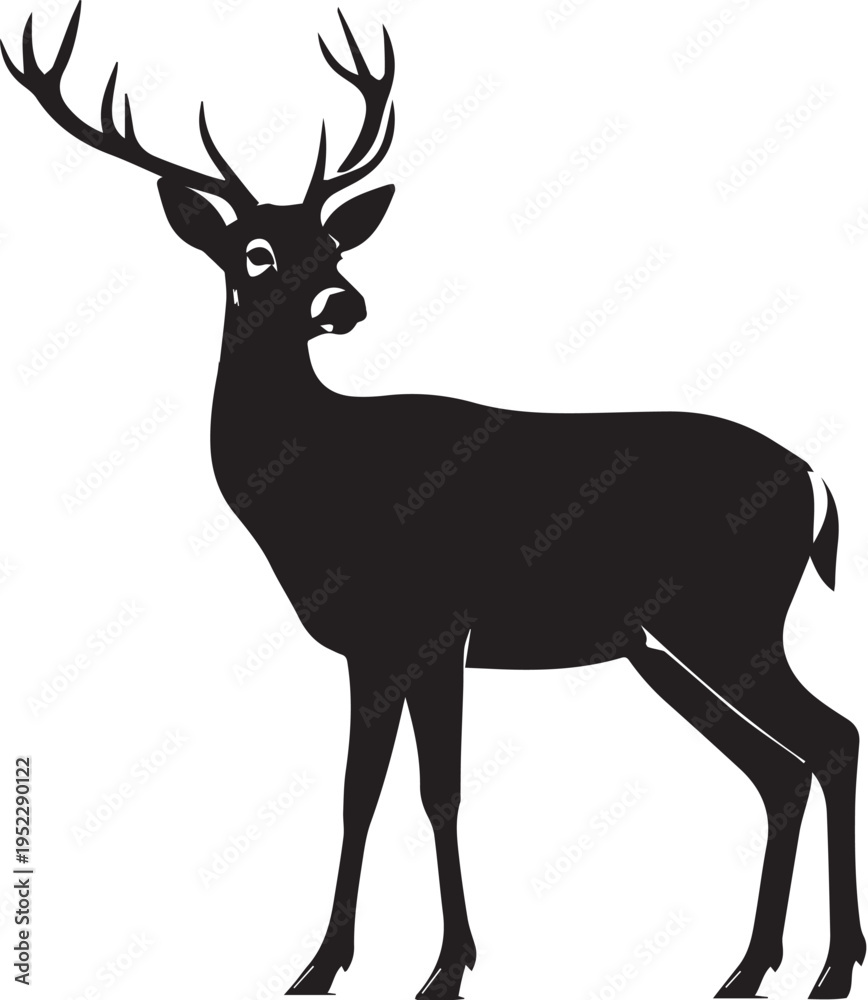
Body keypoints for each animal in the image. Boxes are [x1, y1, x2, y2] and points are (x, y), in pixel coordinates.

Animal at [3, 5, 864, 998]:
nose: (344, 302)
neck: (318, 487)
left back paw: (831, 967)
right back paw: (750, 969)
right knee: (780, 770)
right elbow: (360, 795)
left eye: (334, 244)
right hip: (667, 644)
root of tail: (817, 485)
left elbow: (436, 792)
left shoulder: (434, 623)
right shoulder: (372, 648)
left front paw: (444, 967)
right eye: (256, 250)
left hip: (727, 618)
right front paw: (322, 966)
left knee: (831, 739)